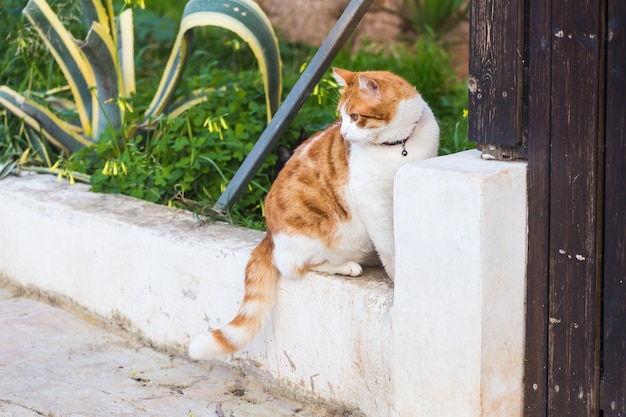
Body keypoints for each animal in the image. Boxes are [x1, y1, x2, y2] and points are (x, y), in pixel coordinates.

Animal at [188, 67, 436, 358]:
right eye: (341, 116)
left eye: (354, 117)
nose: (344, 133)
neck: (399, 145)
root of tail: (269, 236)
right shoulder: (372, 201)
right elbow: (388, 245)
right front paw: (397, 277)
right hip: (318, 236)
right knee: (297, 265)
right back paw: (346, 266)